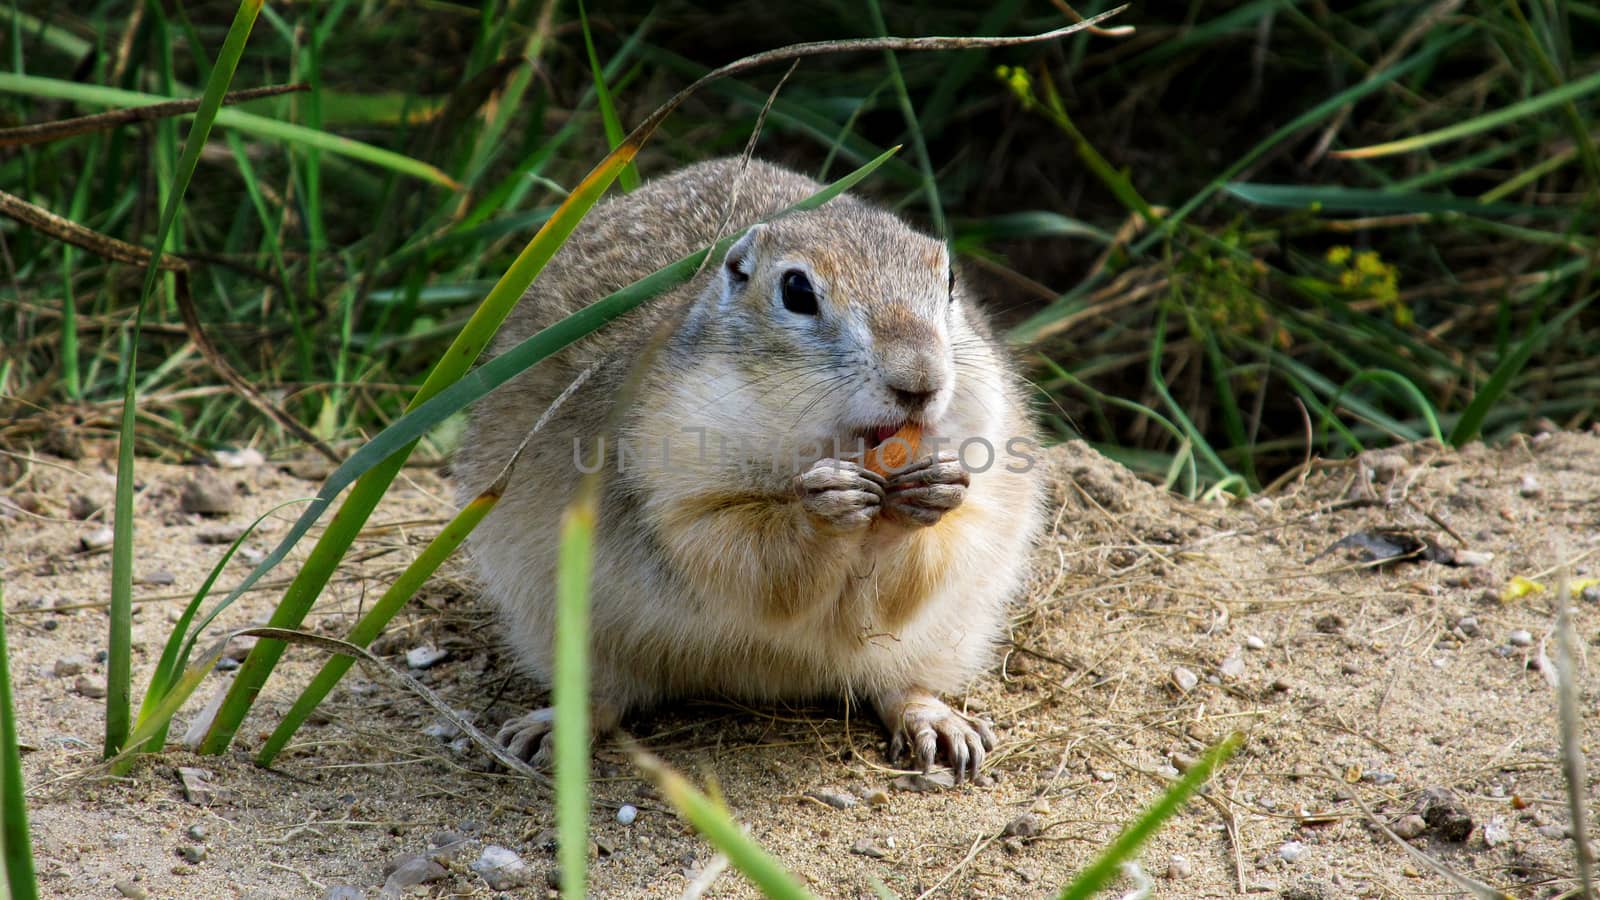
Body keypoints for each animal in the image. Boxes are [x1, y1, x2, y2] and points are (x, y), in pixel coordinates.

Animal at [457, 157, 1043, 775]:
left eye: (950, 282)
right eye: (796, 290)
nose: (920, 381)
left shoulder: (985, 492)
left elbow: (923, 567)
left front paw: (929, 494)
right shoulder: (677, 485)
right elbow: (744, 550)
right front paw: (825, 508)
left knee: (898, 682)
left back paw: (940, 725)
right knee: (604, 693)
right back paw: (546, 734)